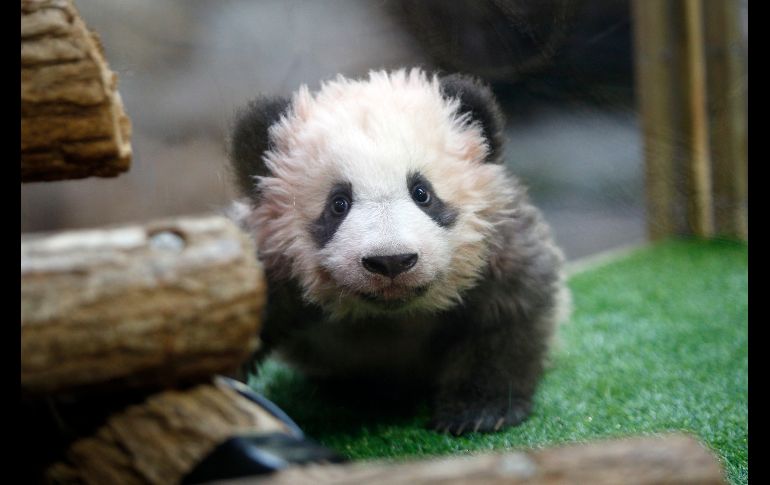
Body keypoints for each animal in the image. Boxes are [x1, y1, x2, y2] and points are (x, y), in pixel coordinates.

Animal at [228, 68, 569, 435]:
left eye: (422, 192)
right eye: (338, 203)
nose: (391, 261)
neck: (390, 313)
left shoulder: (495, 244)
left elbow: (506, 315)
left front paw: (479, 411)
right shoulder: (268, 264)